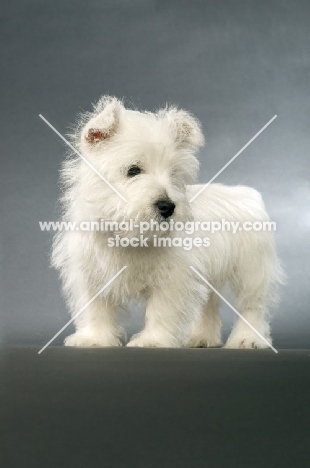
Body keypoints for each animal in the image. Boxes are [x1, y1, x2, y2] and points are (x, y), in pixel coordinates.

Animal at [51, 96, 286, 348]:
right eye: (133, 170)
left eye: (174, 174)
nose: (167, 206)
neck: (130, 237)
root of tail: (246, 193)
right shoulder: (92, 274)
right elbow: (96, 309)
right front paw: (94, 339)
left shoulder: (173, 278)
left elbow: (161, 310)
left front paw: (152, 340)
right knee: (209, 304)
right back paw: (201, 338)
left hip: (252, 270)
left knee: (251, 306)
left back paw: (247, 339)